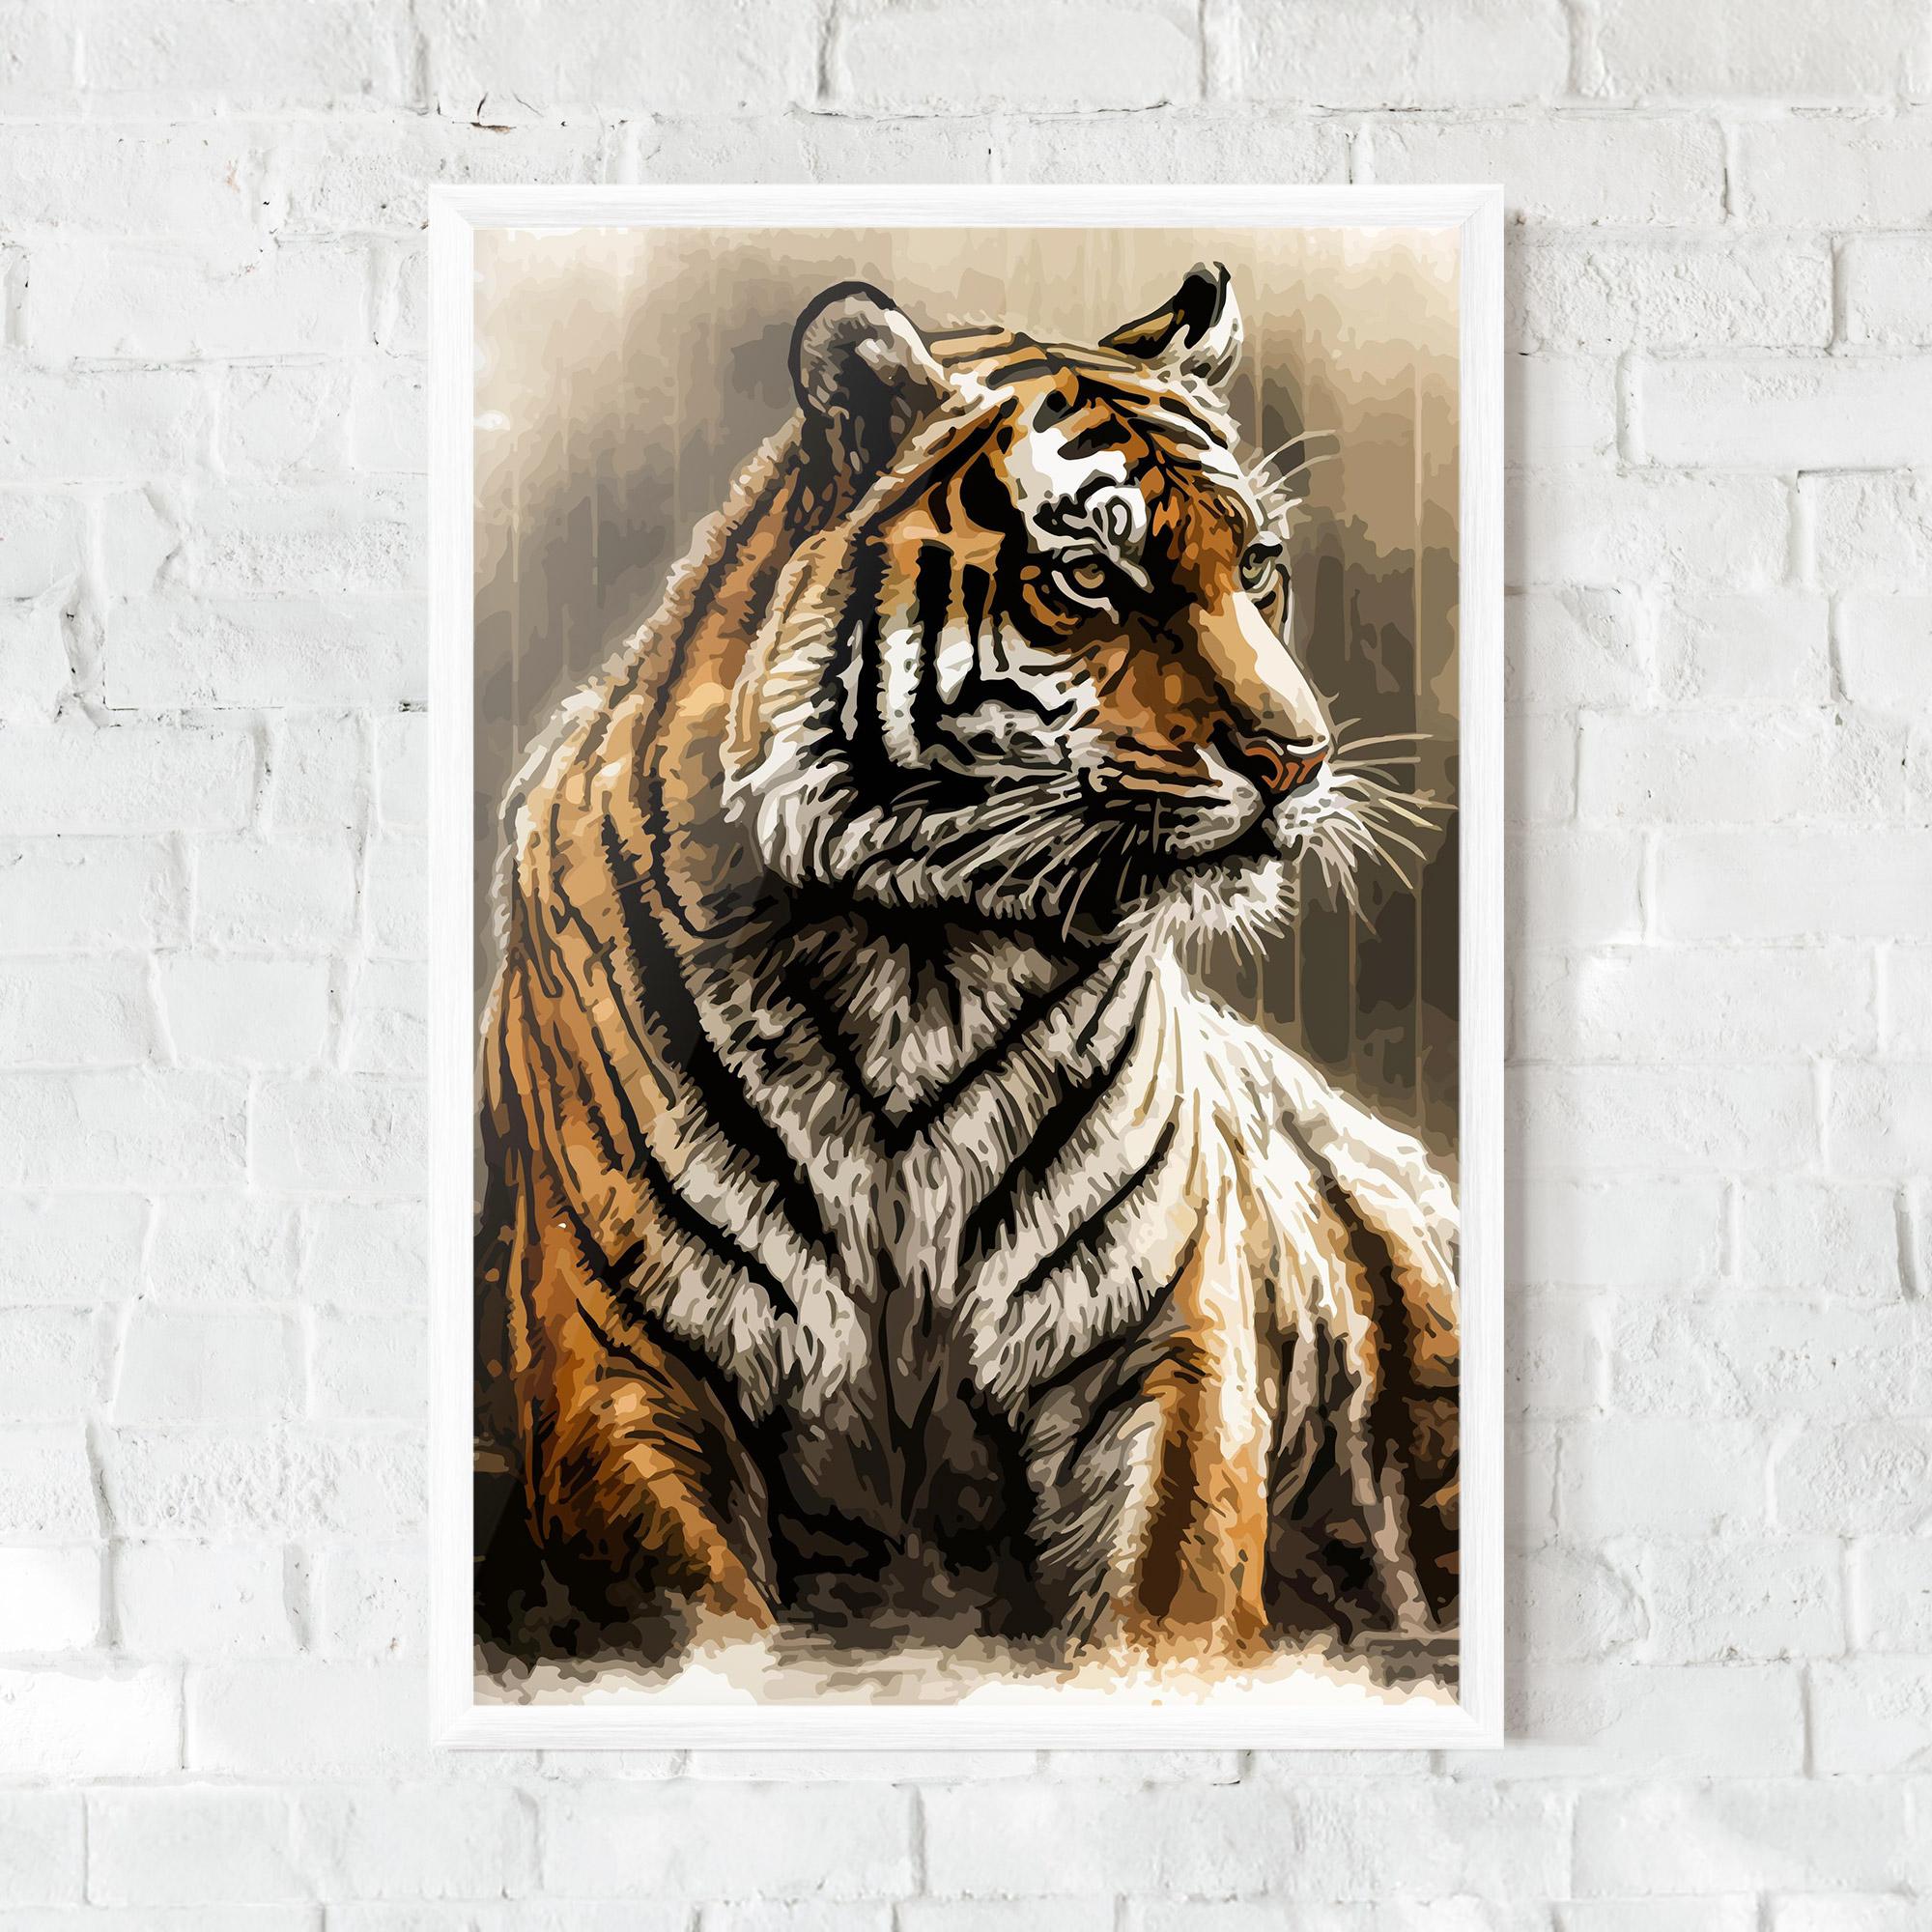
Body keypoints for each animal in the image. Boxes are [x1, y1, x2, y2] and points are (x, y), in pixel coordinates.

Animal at [475, 262, 1459, 1676]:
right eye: (1091, 576)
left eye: (1259, 567)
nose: (1297, 757)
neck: (919, 953)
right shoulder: (619, 1364)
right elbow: (705, 1627)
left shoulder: (1165, 1349)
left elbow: (1164, 1605)